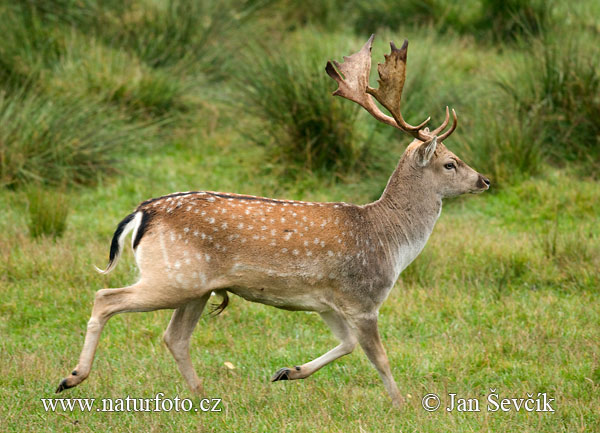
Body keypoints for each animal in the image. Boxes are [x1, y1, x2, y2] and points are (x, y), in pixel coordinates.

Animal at [54, 35, 490, 406]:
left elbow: (346, 344)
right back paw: (71, 377)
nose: (484, 180)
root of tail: (143, 212)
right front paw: (403, 405)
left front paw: (286, 371)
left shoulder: (328, 302)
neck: (390, 244)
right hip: (172, 278)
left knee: (174, 337)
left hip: (195, 287)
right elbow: (378, 356)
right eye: (451, 163)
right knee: (105, 297)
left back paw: (205, 395)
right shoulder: (363, 297)